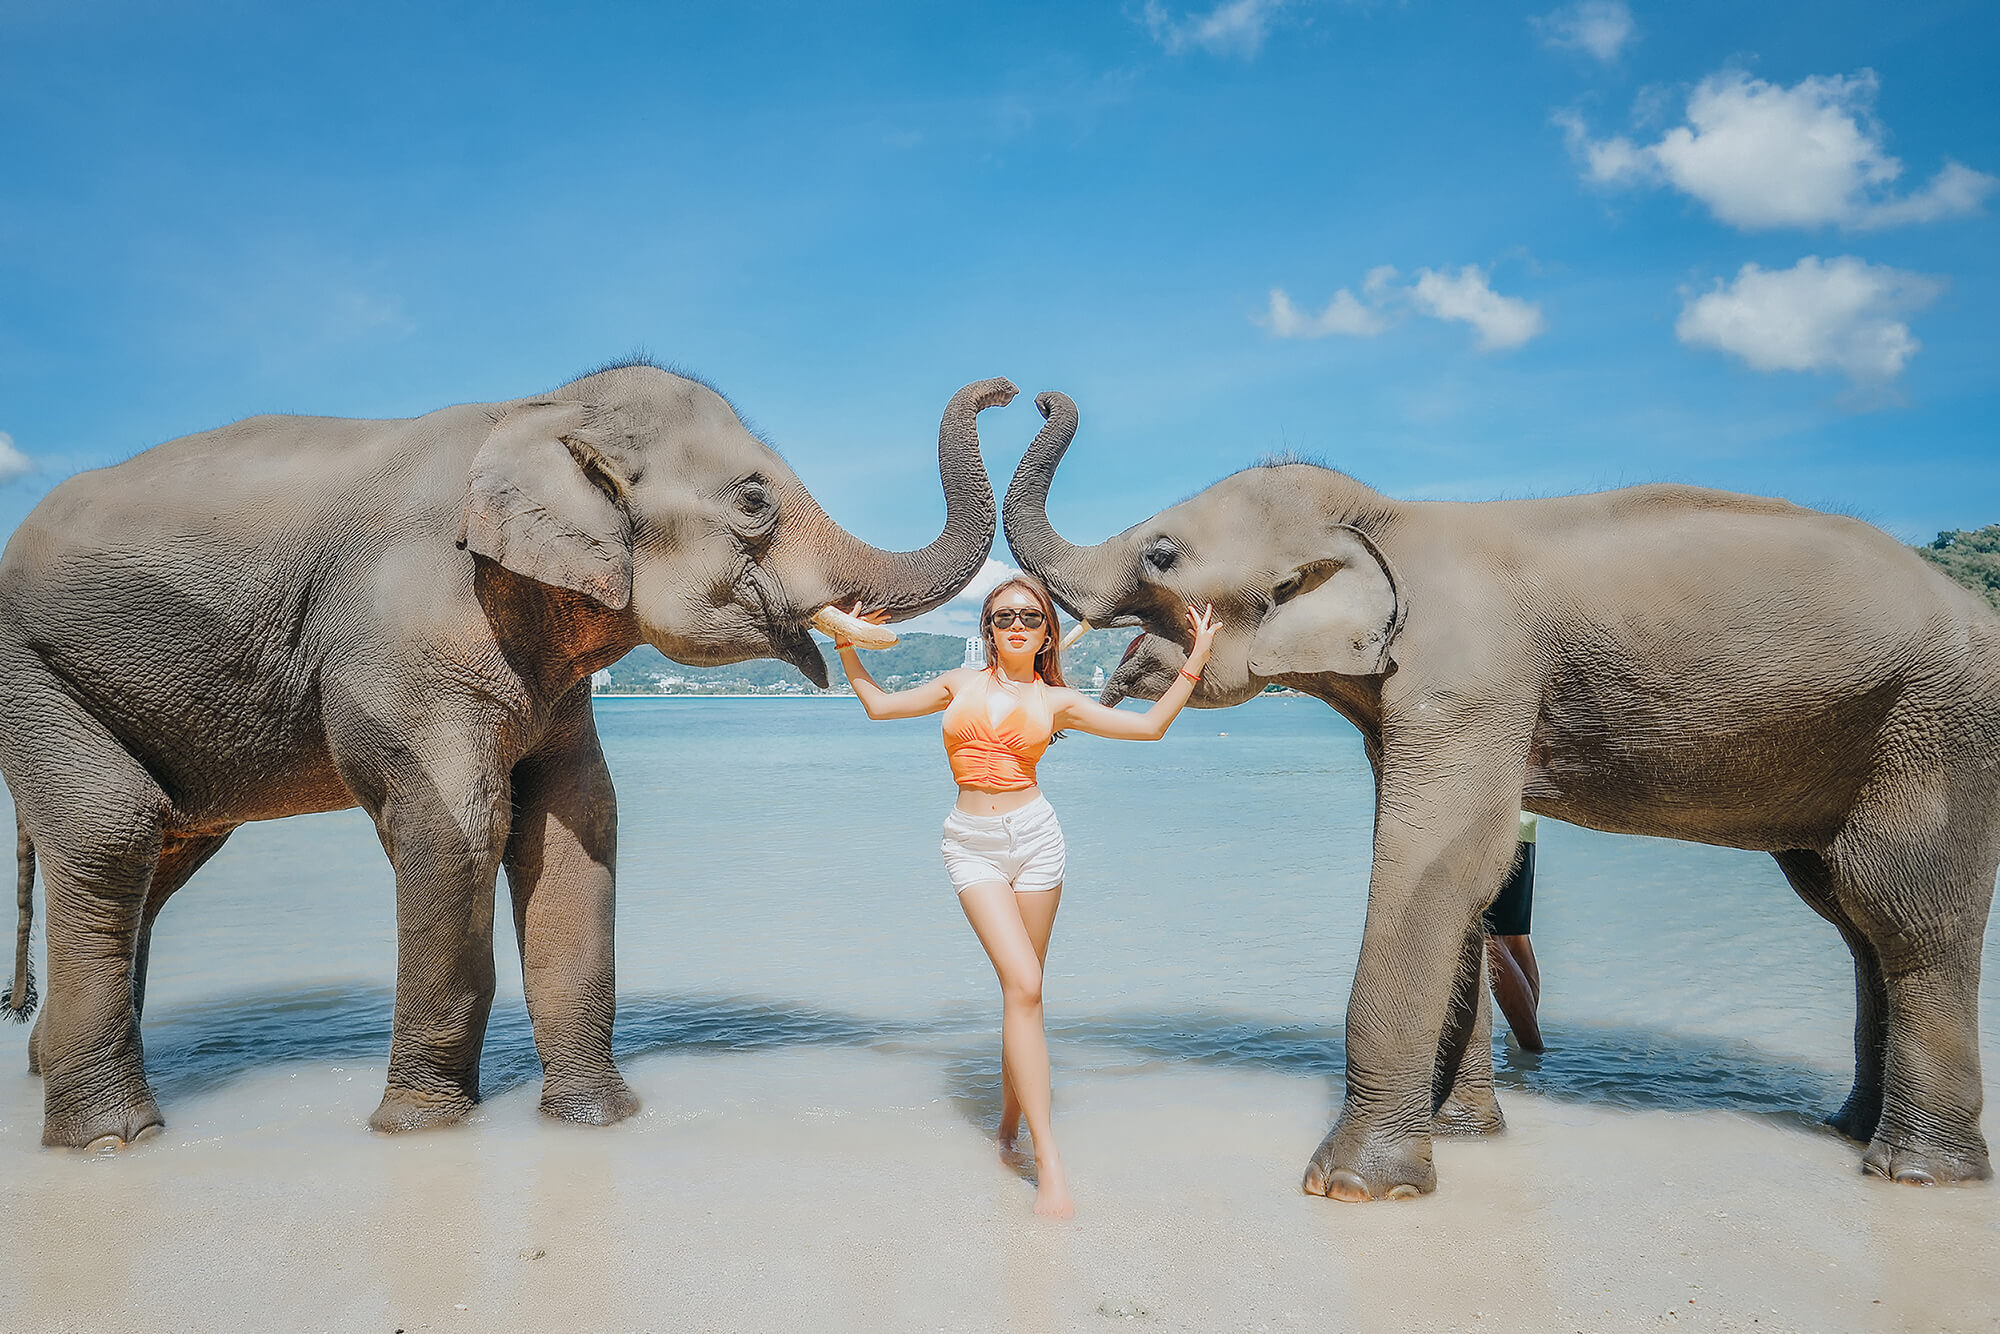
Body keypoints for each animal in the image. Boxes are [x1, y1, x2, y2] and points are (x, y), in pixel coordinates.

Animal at [3, 362, 1016, 1152]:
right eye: (755, 501)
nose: (1013, 392)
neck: (535, 406)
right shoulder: (408, 638)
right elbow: (455, 828)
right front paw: (422, 1129)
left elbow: (573, 830)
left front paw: (597, 1121)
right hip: (35, 674)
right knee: (111, 836)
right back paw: (108, 1137)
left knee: (162, 856)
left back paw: (49, 1072)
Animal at [1000, 388, 2000, 1200]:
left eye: (1163, 553)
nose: (1029, 392)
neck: (1389, 520)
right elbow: (1462, 884)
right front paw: (1463, 1137)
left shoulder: (1471, 679)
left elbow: (1433, 867)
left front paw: (1355, 1188)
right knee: (1851, 916)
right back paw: (1851, 1131)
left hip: (1938, 730)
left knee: (1907, 910)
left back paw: (1917, 1171)